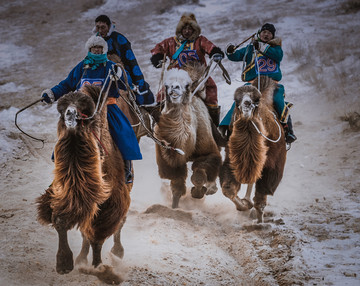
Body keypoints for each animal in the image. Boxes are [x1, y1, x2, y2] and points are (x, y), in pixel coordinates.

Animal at [155, 63, 222, 208]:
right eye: (166, 86)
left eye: (186, 86)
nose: (174, 89)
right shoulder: (172, 162)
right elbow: (177, 184)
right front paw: (175, 205)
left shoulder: (209, 152)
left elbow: (198, 176)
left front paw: (198, 193)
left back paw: (211, 189)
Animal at [219, 76, 286, 223]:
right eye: (236, 100)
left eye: (256, 100)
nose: (246, 105)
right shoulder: (232, 159)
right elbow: (228, 189)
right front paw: (244, 205)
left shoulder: (273, 164)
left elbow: (261, 196)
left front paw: (259, 222)